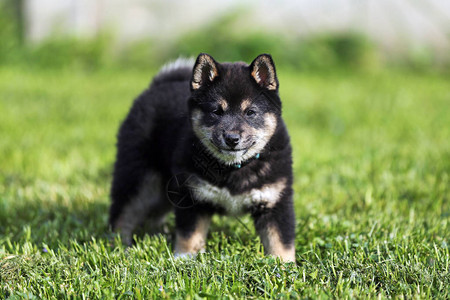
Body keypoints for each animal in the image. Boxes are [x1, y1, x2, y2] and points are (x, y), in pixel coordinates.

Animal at [109, 54, 296, 262]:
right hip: (140, 178)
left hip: (163, 188)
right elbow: (189, 236)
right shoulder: (192, 197)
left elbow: (280, 242)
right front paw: (184, 260)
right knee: (123, 212)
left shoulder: (275, 200)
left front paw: (284, 266)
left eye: (250, 112)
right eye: (216, 112)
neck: (233, 168)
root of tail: (157, 85)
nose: (232, 138)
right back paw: (119, 247)